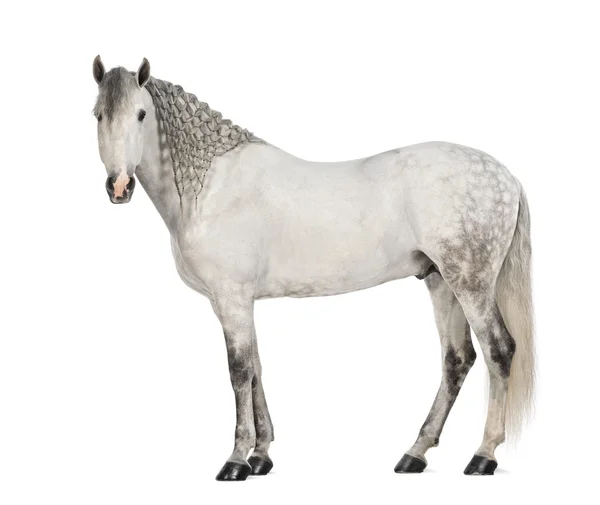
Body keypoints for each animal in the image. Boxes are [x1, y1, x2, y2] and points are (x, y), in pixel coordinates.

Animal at [92, 56, 536, 480]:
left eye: (141, 114)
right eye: (98, 114)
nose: (119, 187)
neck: (211, 186)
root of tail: (507, 177)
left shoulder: (232, 298)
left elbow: (239, 371)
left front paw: (236, 460)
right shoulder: (234, 303)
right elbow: (256, 368)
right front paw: (260, 456)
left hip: (471, 283)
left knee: (498, 350)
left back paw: (483, 456)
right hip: (442, 282)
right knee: (456, 360)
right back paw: (415, 454)